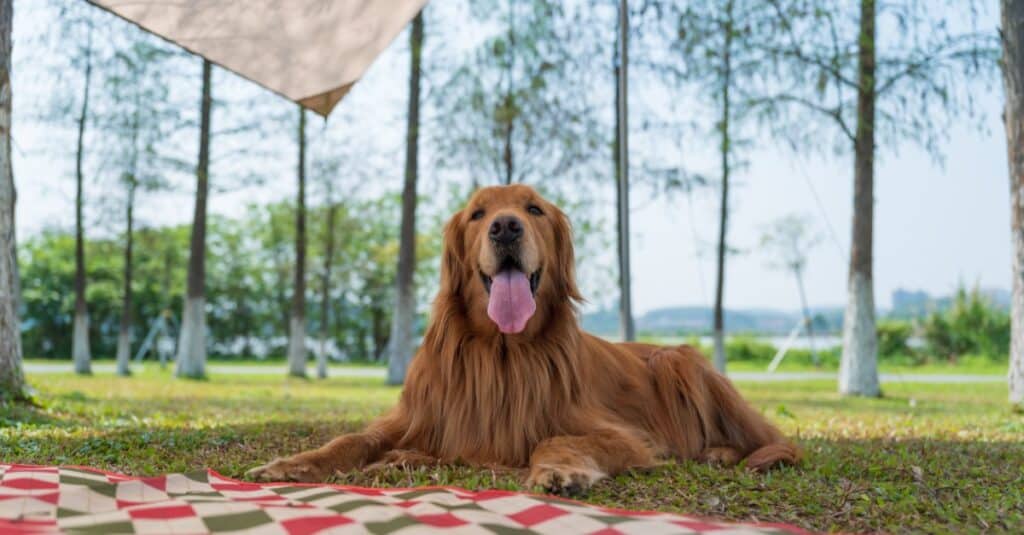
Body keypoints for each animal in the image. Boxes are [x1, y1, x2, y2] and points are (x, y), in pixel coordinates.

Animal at [249, 185, 798, 494]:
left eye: (534, 209)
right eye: (477, 214)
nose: (506, 227)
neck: (501, 348)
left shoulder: (623, 435)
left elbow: (556, 438)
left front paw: (559, 472)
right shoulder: (417, 414)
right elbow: (353, 438)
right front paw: (294, 463)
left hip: (677, 360)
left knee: (770, 441)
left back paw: (720, 453)